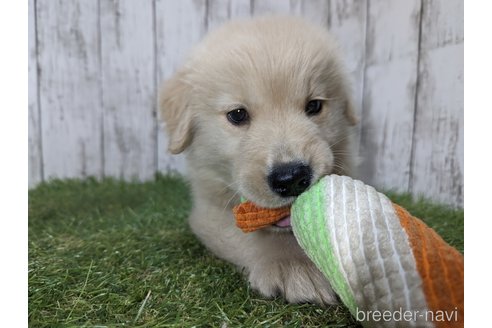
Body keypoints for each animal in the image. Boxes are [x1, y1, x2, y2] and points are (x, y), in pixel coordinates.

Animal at [161, 16, 358, 304]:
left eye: (314, 106)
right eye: (237, 115)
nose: (292, 178)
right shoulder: (208, 213)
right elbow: (253, 237)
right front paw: (292, 264)